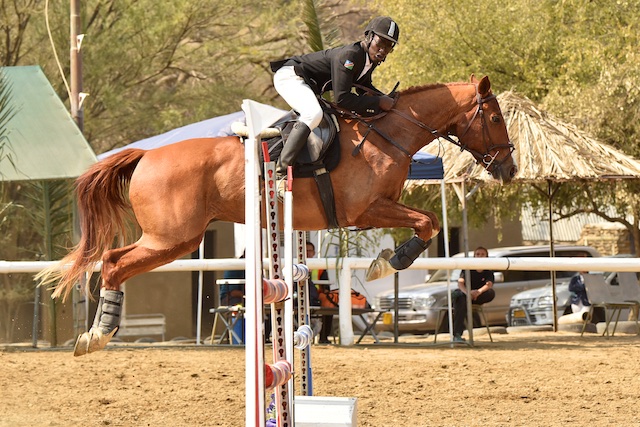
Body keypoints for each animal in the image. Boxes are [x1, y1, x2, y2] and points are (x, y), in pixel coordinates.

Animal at [37, 73, 516, 354]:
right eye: (494, 117)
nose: (509, 169)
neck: (389, 133)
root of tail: (146, 155)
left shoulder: (374, 210)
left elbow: (425, 223)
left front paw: (386, 261)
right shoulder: (366, 209)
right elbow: (427, 223)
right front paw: (387, 263)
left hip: (172, 238)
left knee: (111, 261)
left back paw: (97, 334)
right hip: (173, 238)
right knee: (114, 263)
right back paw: (96, 335)